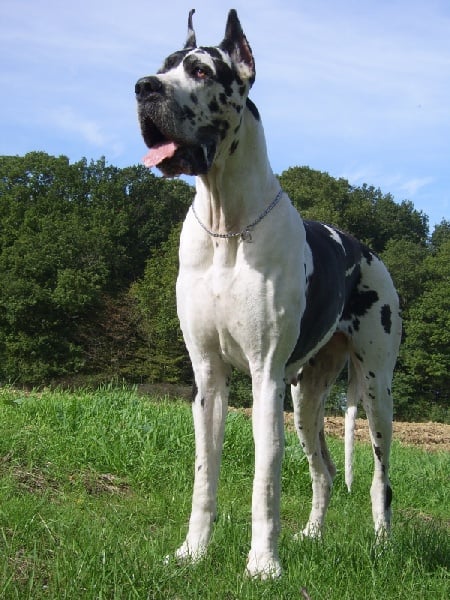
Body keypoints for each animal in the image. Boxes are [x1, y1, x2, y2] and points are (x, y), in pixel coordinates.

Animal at [135, 9, 402, 580]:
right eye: (161, 67)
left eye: (199, 69)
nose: (143, 87)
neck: (227, 226)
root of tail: (367, 251)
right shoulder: (208, 379)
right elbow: (204, 477)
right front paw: (192, 553)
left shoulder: (264, 378)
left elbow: (265, 481)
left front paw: (262, 565)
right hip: (306, 398)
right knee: (324, 471)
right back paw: (312, 534)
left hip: (376, 391)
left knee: (380, 478)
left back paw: (382, 544)